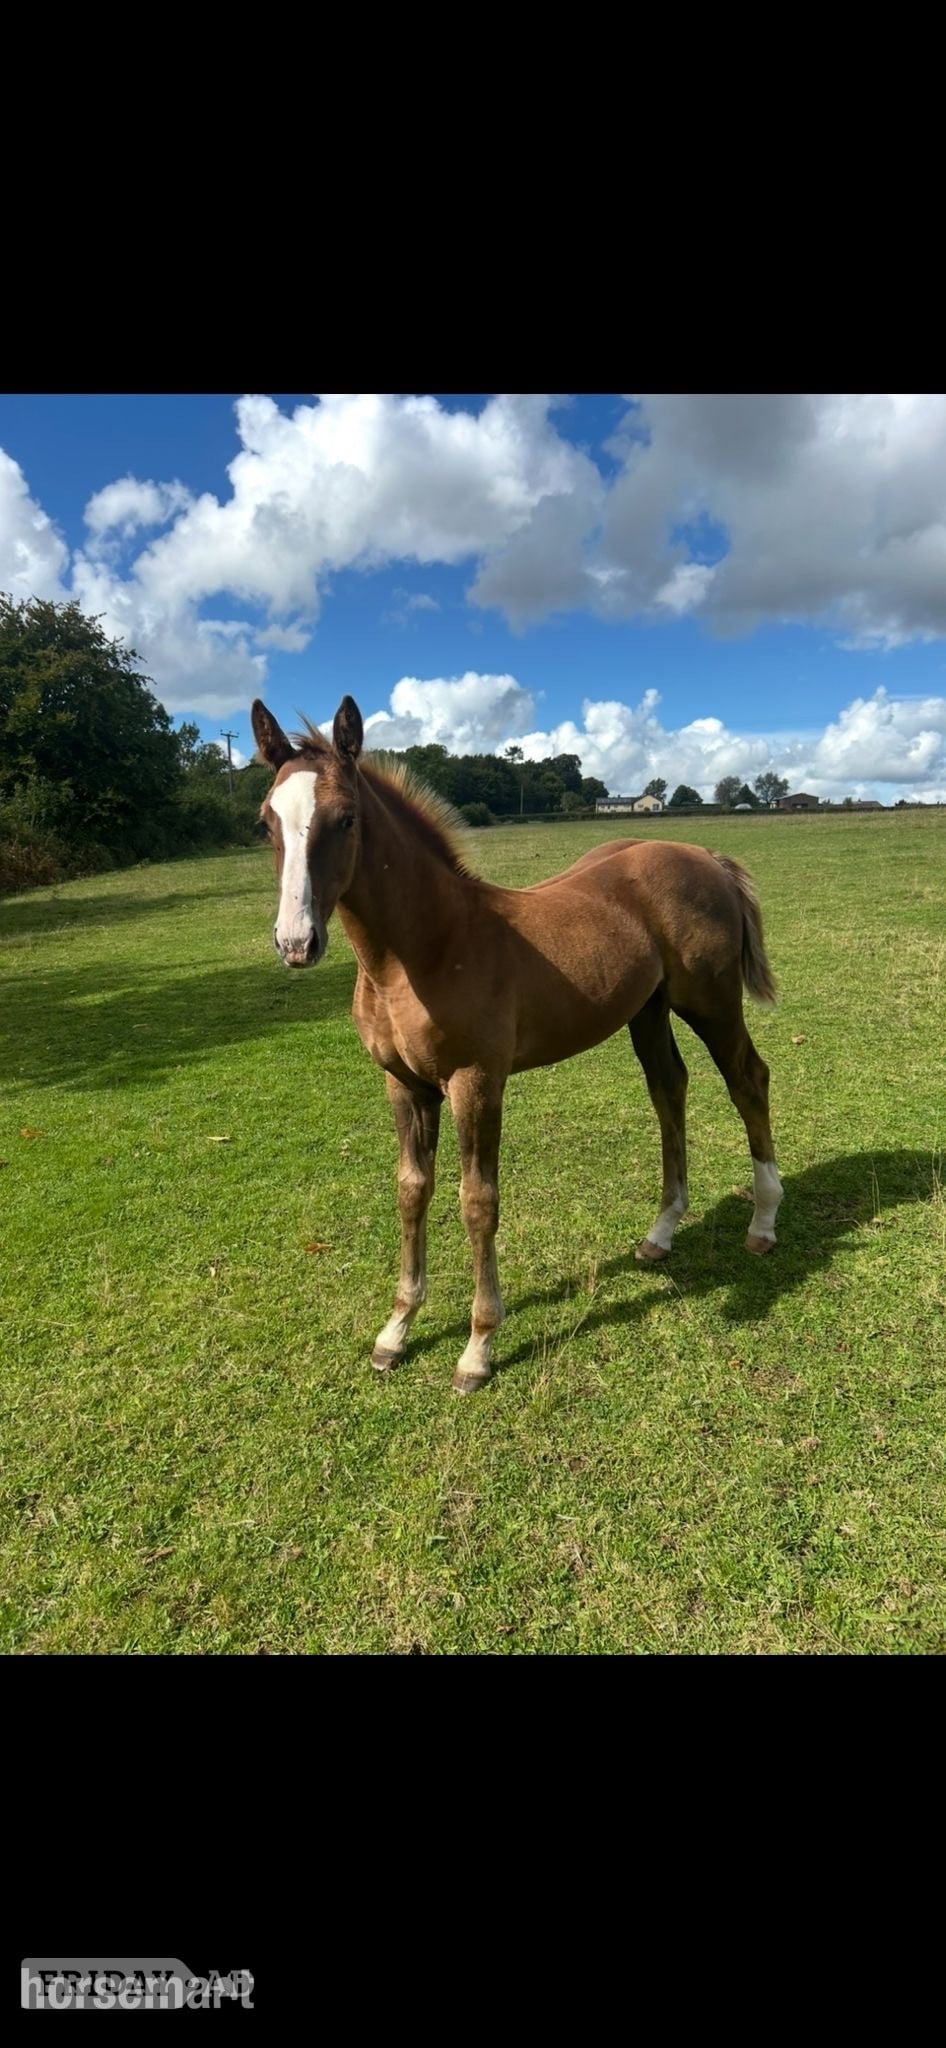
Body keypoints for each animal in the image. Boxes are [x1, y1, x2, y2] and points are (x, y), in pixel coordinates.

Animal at [252, 694, 783, 1393]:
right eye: (265, 822)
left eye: (346, 818)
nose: (296, 943)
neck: (427, 947)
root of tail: (703, 854)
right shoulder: (404, 1084)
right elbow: (411, 1190)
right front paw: (396, 1331)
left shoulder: (476, 1081)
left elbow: (477, 1201)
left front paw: (478, 1347)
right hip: (648, 1011)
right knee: (669, 1088)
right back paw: (662, 1232)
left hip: (712, 1003)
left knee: (748, 1079)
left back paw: (763, 1222)